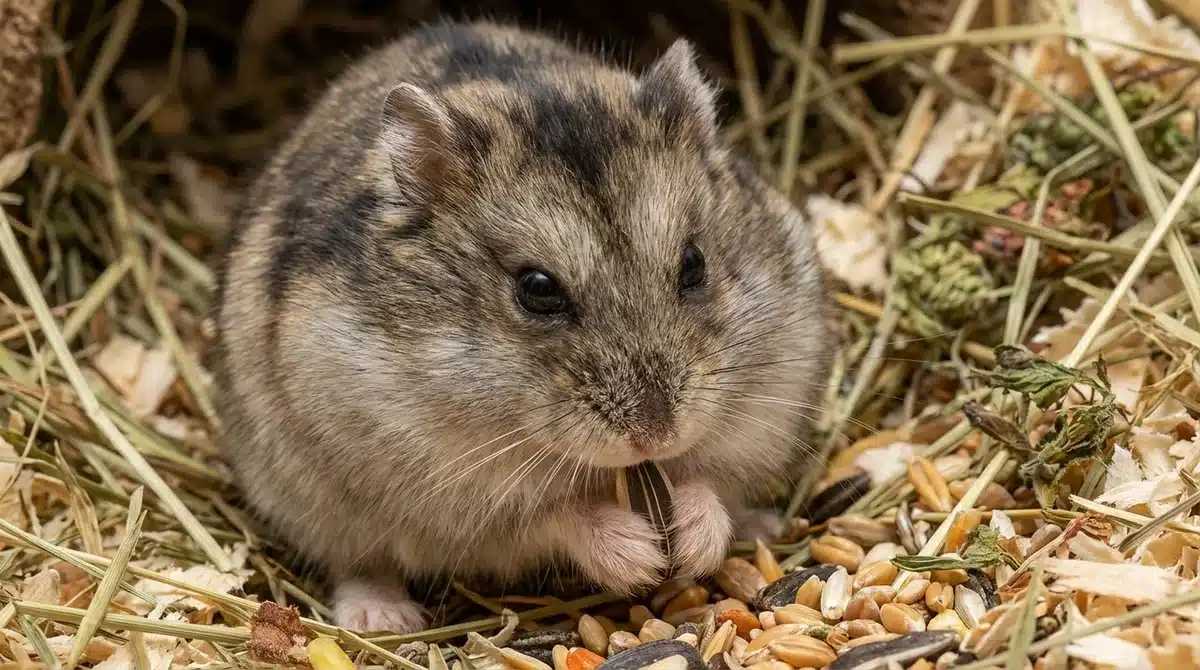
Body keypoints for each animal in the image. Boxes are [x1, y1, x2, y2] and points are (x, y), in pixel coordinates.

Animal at [214, 20, 831, 633]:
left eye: (694, 263)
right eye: (536, 289)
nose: (656, 436)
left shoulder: (761, 415)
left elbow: (710, 479)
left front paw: (693, 537)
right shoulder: (460, 498)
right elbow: (557, 515)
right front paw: (642, 557)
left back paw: (763, 526)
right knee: (358, 562)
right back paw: (384, 619)